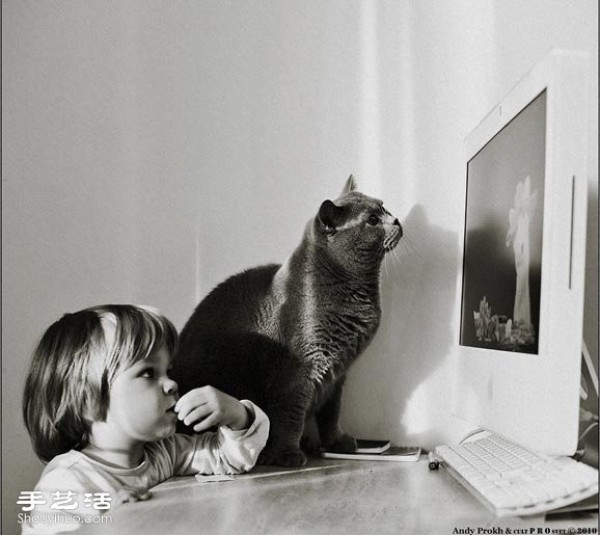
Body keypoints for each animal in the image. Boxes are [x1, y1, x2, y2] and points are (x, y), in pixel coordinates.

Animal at [170, 178, 404, 466]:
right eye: (372, 220)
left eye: (385, 208)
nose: (396, 220)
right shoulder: (300, 372)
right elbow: (291, 413)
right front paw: (287, 454)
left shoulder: (338, 375)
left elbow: (332, 412)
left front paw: (336, 441)